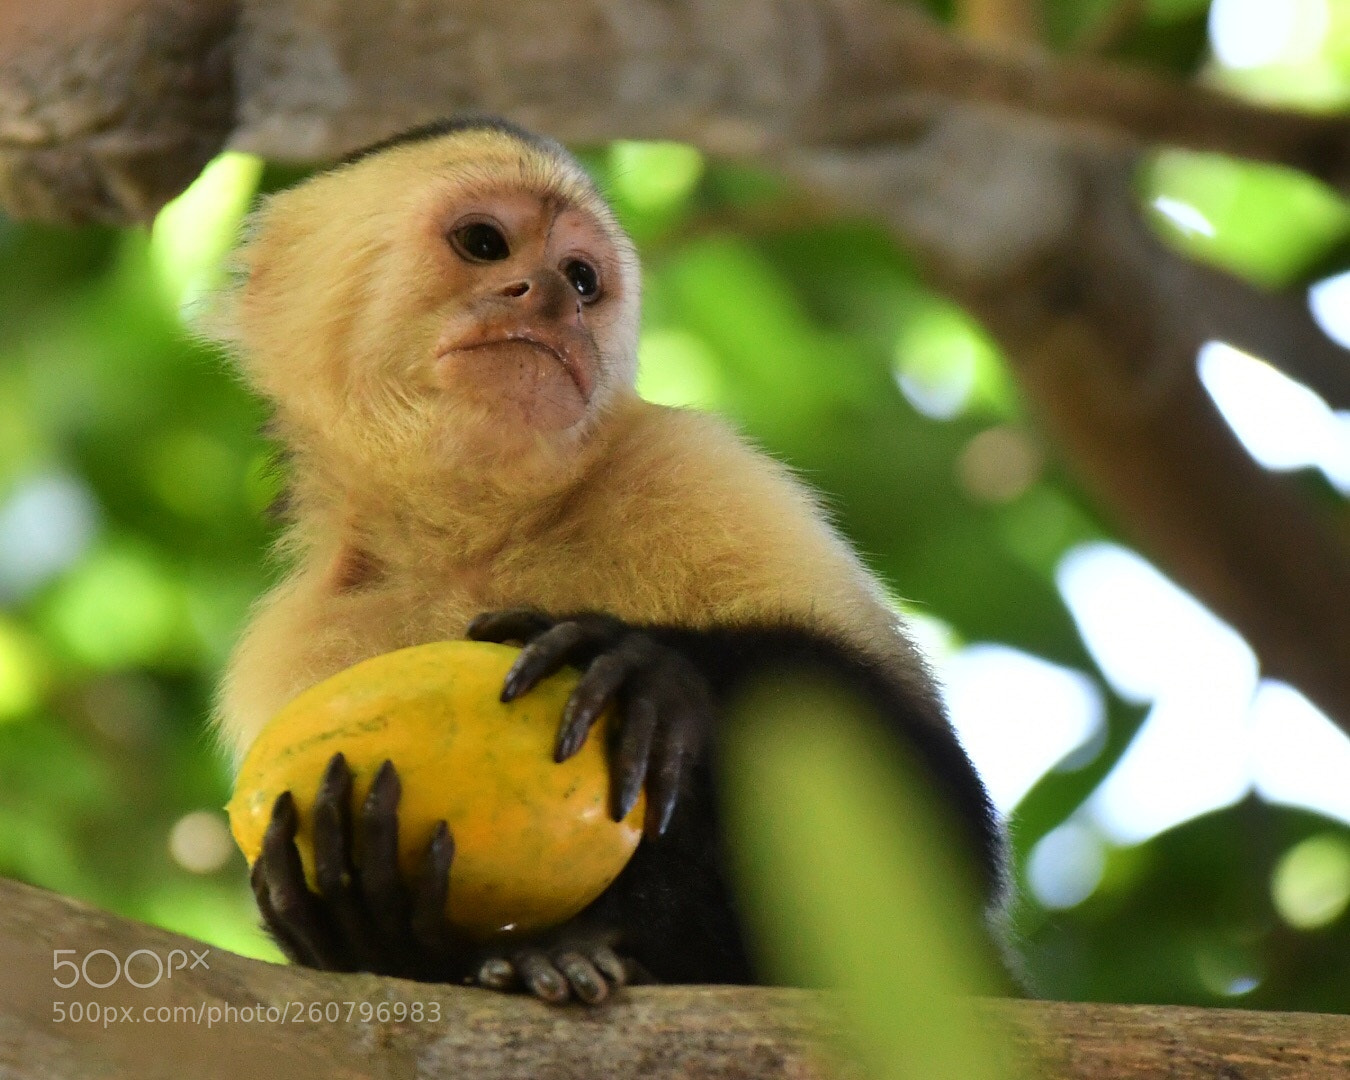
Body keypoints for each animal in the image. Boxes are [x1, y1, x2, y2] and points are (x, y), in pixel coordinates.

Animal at [209, 116, 1006, 1006]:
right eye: (483, 243)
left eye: (583, 280)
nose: (551, 299)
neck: (477, 532)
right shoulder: (297, 638)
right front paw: (365, 907)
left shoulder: (693, 464)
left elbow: (937, 821)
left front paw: (655, 671)